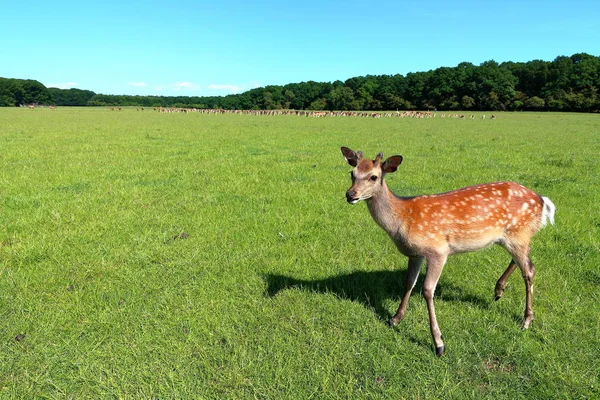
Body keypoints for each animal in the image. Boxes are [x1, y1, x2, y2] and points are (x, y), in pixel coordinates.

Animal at [340, 147, 556, 356]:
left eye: (373, 177)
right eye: (352, 173)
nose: (350, 194)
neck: (402, 218)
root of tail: (542, 200)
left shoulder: (438, 250)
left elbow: (427, 290)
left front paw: (439, 343)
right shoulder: (415, 253)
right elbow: (409, 282)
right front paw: (395, 318)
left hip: (518, 233)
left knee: (529, 270)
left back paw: (526, 320)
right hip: (513, 237)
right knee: (523, 261)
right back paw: (498, 290)